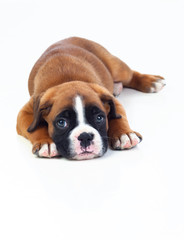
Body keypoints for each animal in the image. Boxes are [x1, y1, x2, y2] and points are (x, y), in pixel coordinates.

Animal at [16, 37, 165, 159]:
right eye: (61, 123)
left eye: (99, 118)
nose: (85, 136)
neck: (68, 81)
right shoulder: (26, 112)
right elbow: (35, 128)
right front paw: (46, 143)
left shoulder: (112, 100)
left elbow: (118, 117)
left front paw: (124, 134)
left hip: (117, 68)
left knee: (131, 75)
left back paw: (151, 82)